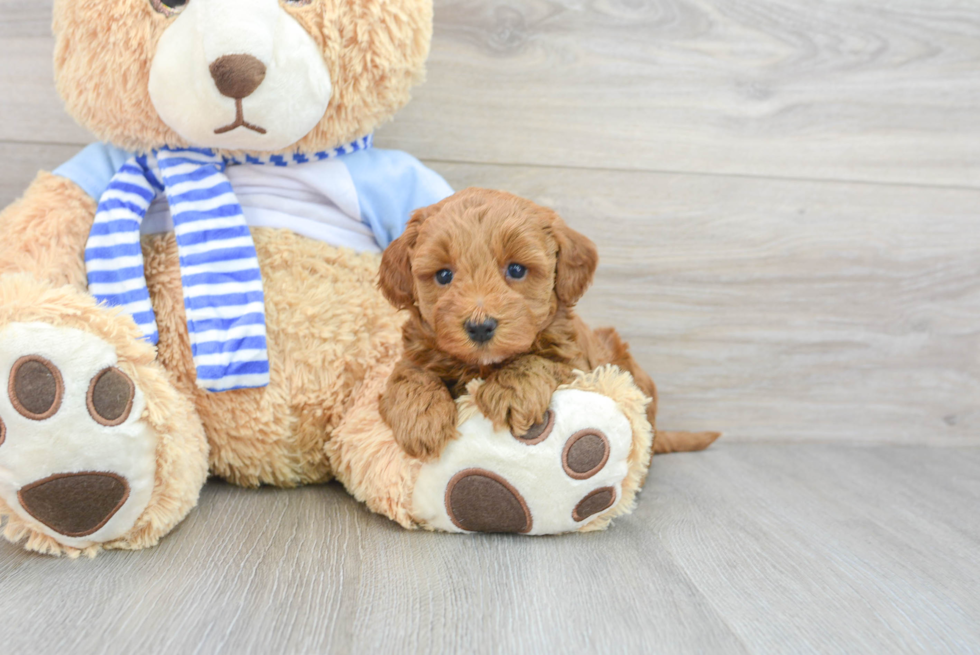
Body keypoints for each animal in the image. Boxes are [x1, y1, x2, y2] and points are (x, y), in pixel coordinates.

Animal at [378, 186, 716, 462]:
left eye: (516, 269)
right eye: (444, 275)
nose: (480, 327)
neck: (481, 366)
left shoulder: (578, 368)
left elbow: (537, 361)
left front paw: (510, 390)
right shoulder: (416, 354)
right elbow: (409, 375)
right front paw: (421, 418)